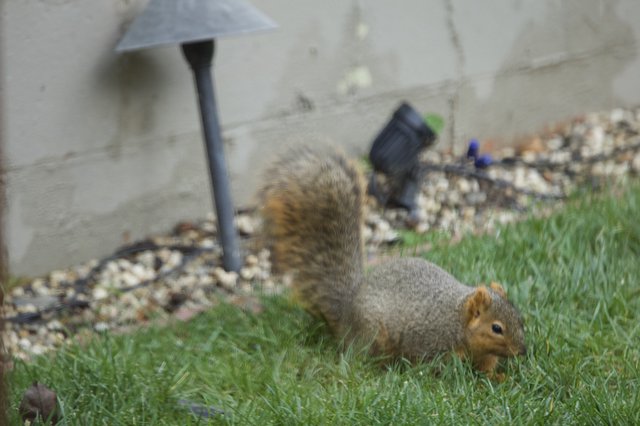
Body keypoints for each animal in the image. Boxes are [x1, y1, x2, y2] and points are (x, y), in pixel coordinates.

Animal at [261, 147, 526, 378]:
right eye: (496, 328)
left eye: (518, 317)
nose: (522, 351)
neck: (457, 319)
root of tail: (348, 310)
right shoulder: (434, 345)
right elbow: (442, 371)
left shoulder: (483, 355)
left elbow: (486, 367)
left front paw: (499, 378)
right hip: (375, 335)